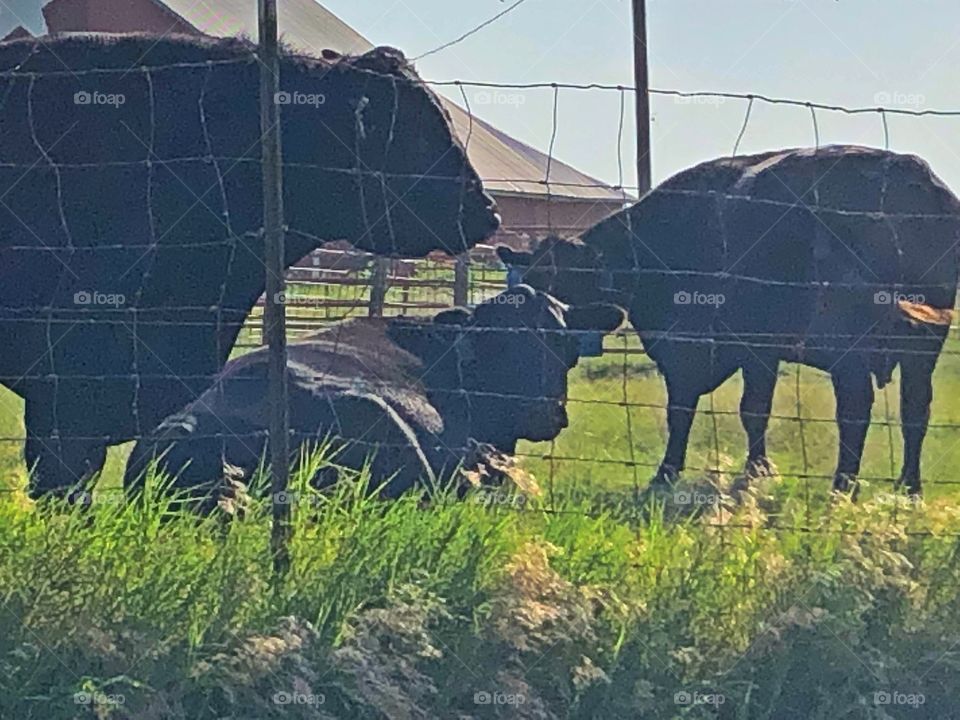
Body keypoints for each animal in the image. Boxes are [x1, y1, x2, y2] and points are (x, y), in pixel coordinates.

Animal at [498, 145, 956, 496]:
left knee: (856, 411)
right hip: (924, 346)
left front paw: (666, 474)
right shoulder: (758, 352)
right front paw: (757, 470)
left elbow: (681, 410)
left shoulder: (688, 350)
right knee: (915, 411)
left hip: (851, 349)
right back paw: (909, 487)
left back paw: (843, 486)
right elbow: (755, 410)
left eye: (563, 282)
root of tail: (908, 171)